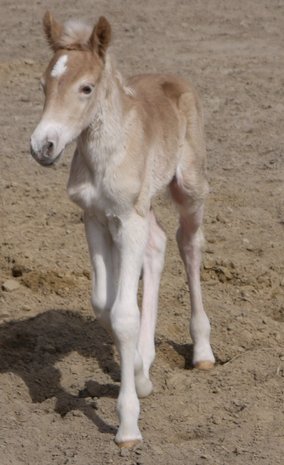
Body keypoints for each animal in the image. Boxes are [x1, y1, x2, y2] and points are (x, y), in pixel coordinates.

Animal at [30, 10, 214, 446]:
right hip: (143, 210)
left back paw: (202, 351)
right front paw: (139, 375)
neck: (104, 155)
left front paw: (128, 425)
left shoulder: (127, 221)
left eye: (86, 87)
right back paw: (147, 360)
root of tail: (174, 78)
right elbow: (104, 304)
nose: (42, 146)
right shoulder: (96, 218)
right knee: (159, 243)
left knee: (188, 244)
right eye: (43, 84)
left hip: (188, 188)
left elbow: (124, 314)